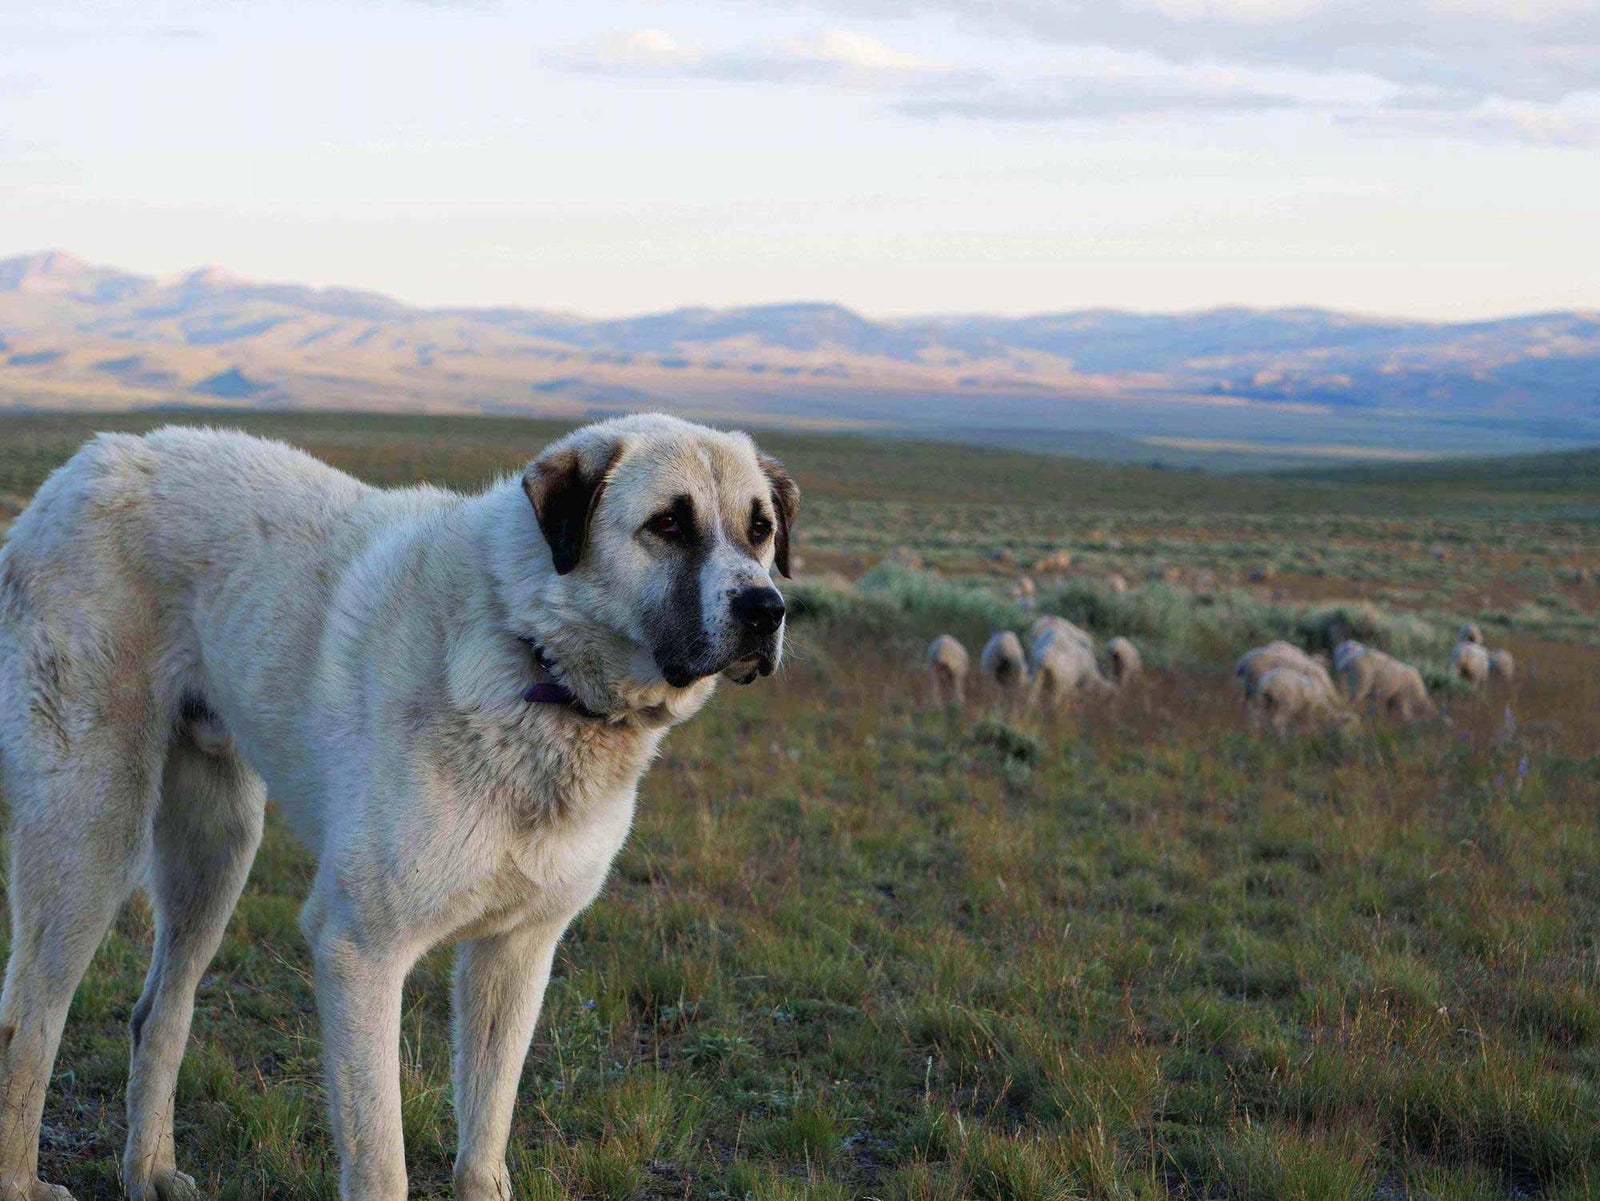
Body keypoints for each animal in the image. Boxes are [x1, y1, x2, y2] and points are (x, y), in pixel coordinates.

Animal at [0, 415, 800, 1201]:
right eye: (668, 523)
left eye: (760, 530)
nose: (767, 609)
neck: (533, 655)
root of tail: (83, 465)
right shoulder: (361, 949)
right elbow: (382, 1159)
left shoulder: (516, 953)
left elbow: (485, 1140)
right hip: (92, 832)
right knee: (27, 1024)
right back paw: (25, 1178)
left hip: (216, 848)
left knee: (158, 1015)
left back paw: (151, 1171)